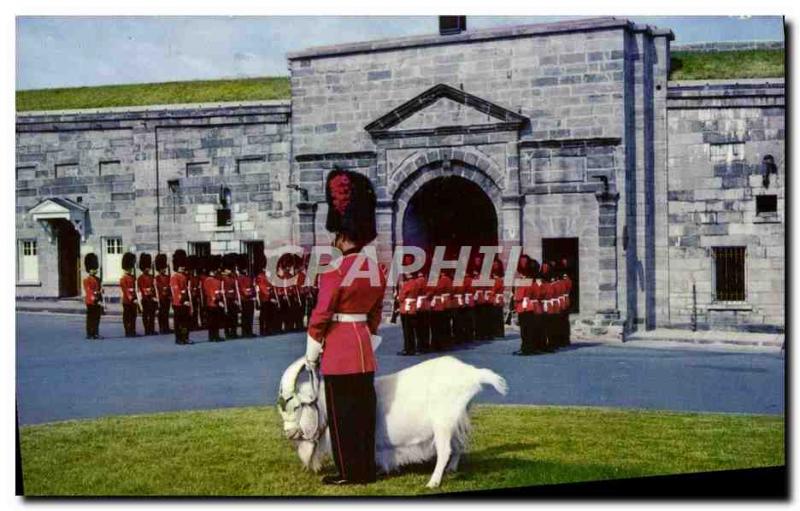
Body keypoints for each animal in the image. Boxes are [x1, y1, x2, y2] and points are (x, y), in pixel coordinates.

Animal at [276, 356, 506, 488]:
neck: (324, 404)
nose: (289, 434)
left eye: (296, 407)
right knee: (458, 445)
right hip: (455, 419)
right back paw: (451, 470)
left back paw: (433, 482)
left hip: (442, 422)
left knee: (445, 450)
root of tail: (473, 374)